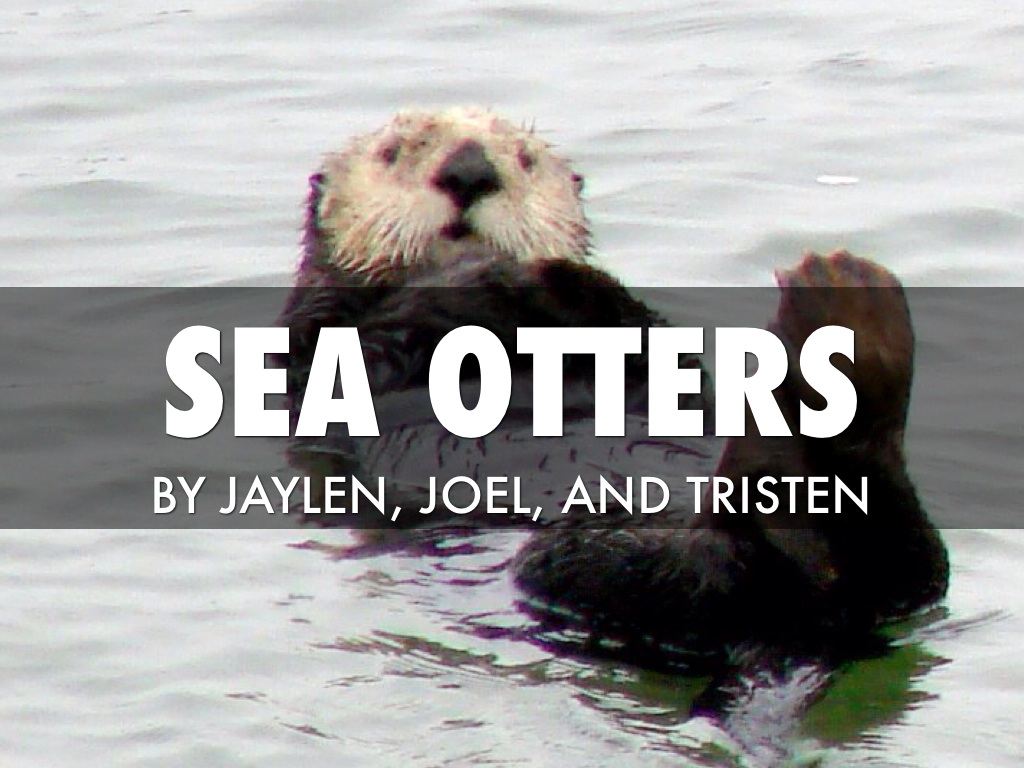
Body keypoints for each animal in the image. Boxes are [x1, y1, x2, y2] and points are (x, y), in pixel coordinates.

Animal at [279, 108, 948, 672]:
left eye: (523, 158)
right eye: (393, 153)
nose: (469, 170)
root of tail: (818, 613)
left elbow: (649, 340)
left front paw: (553, 275)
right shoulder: (324, 344)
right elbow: (383, 337)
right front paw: (491, 273)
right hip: (581, 563)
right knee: (707, 571)